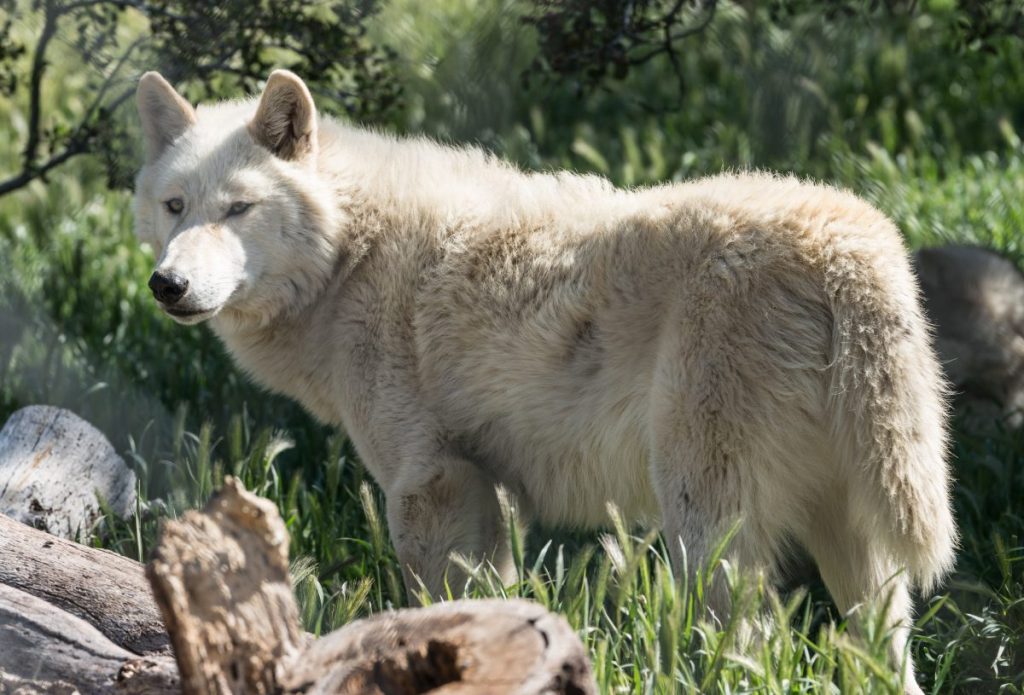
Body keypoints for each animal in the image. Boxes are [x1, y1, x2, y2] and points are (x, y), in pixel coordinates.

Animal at [136, 69, 958, 691]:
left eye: (238, 208)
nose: (167, 285)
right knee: (880, 654)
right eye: (175, 206)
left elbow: (437, 606)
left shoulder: (428, 481)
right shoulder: (482, 490)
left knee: (746, 646)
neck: (350, 253)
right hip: (850, 540)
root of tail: (849, 241)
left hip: (705, 521)